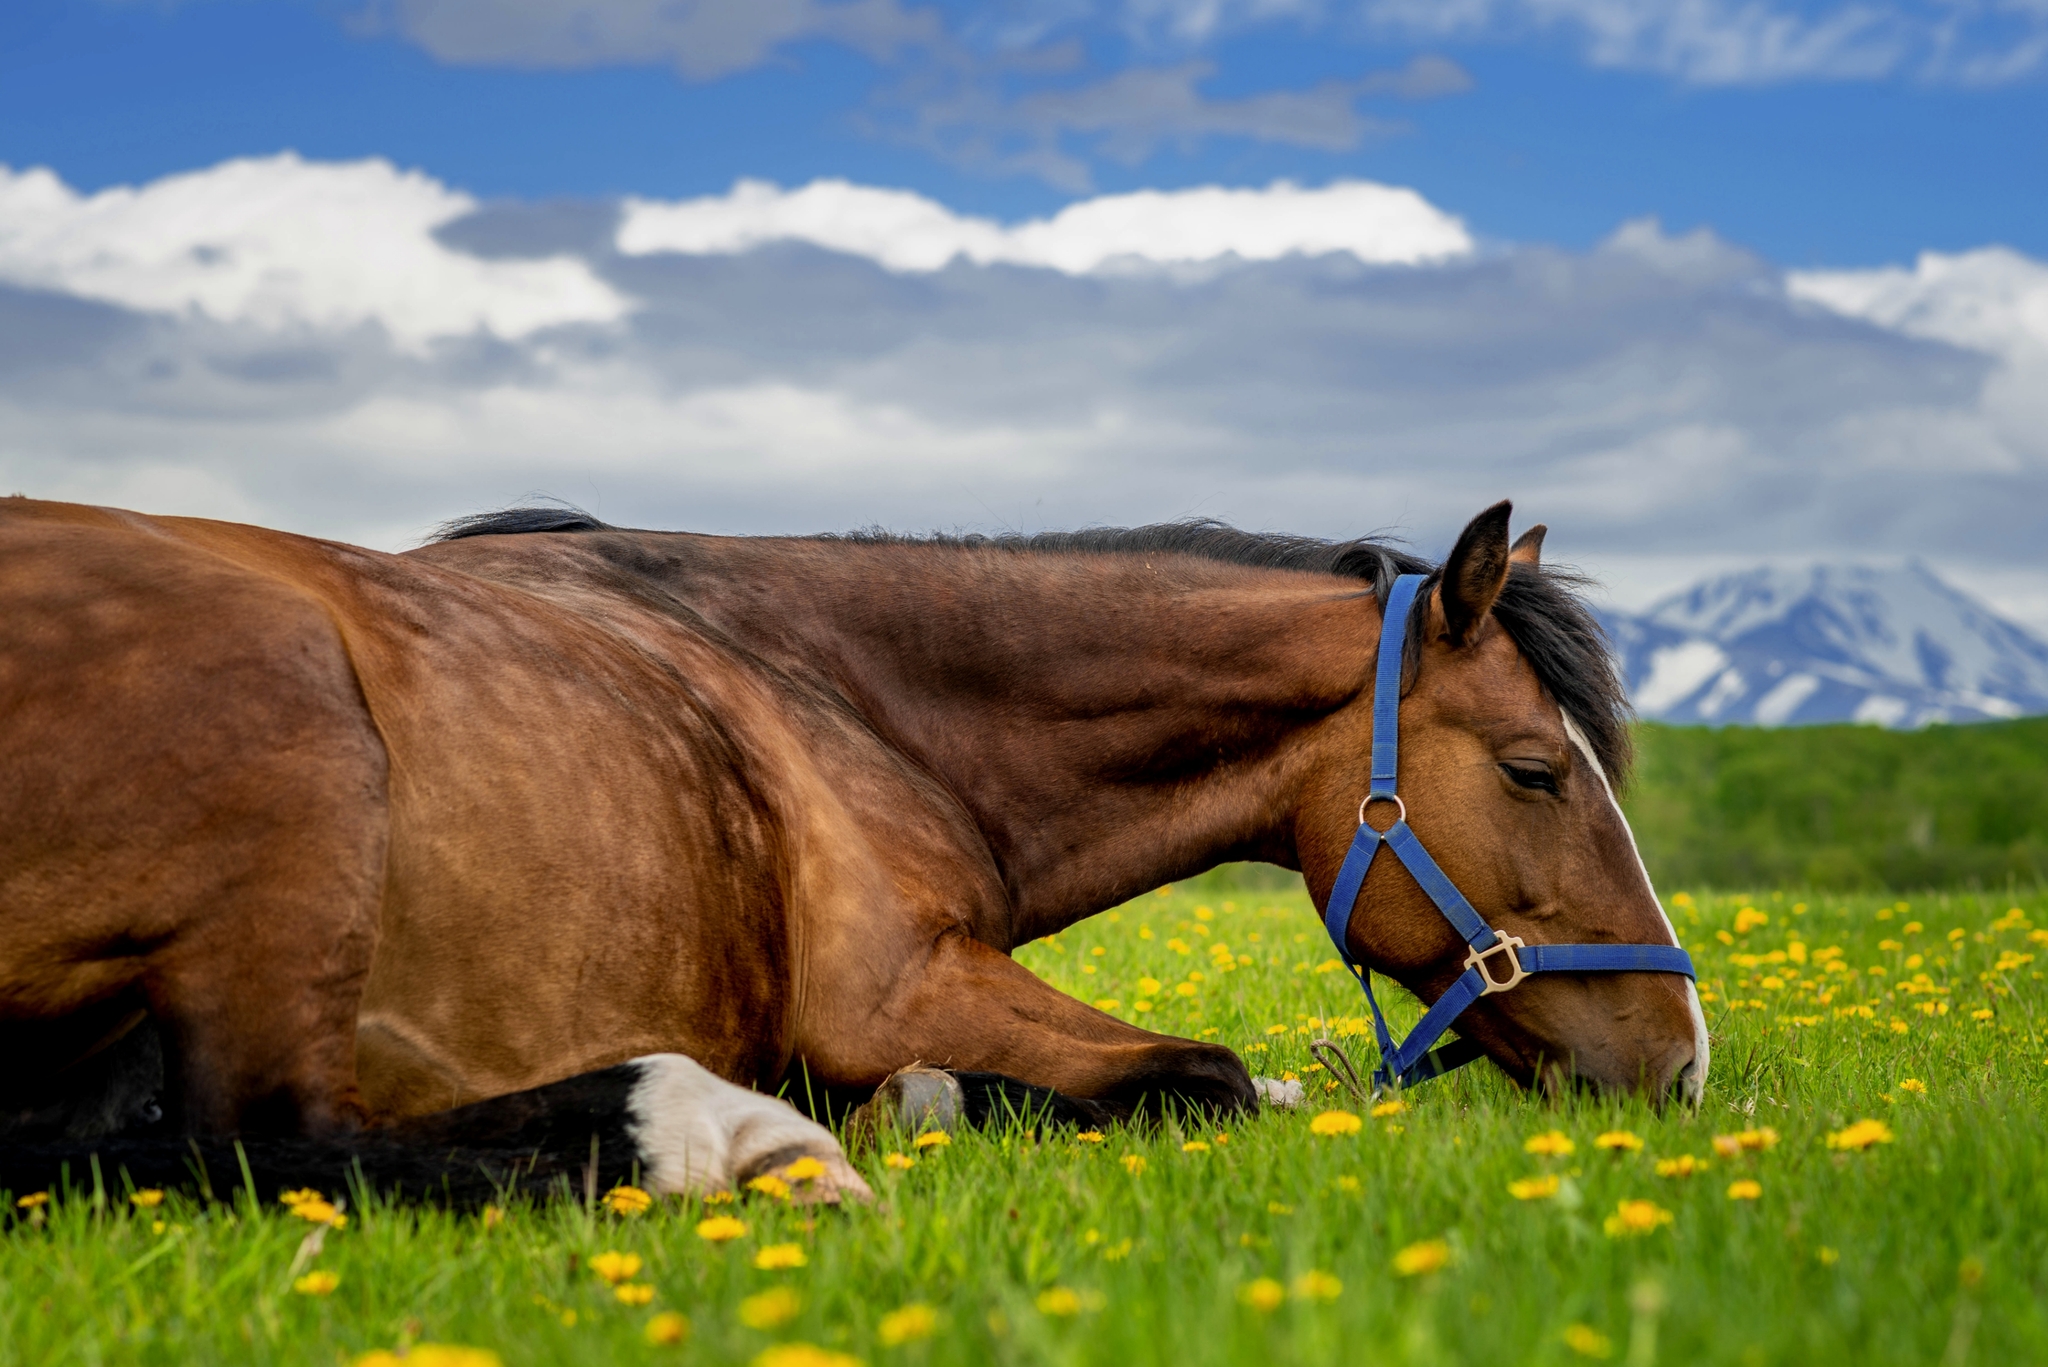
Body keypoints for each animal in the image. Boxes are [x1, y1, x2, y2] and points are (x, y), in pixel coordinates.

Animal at [0, 498, 1703, 1205]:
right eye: (1538, 769)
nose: (1683, 1060)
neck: (822, 678)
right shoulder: (900, 984)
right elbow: (1208, 1070)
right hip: (298, 801)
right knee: (255, 1136)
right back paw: (711, 1134)